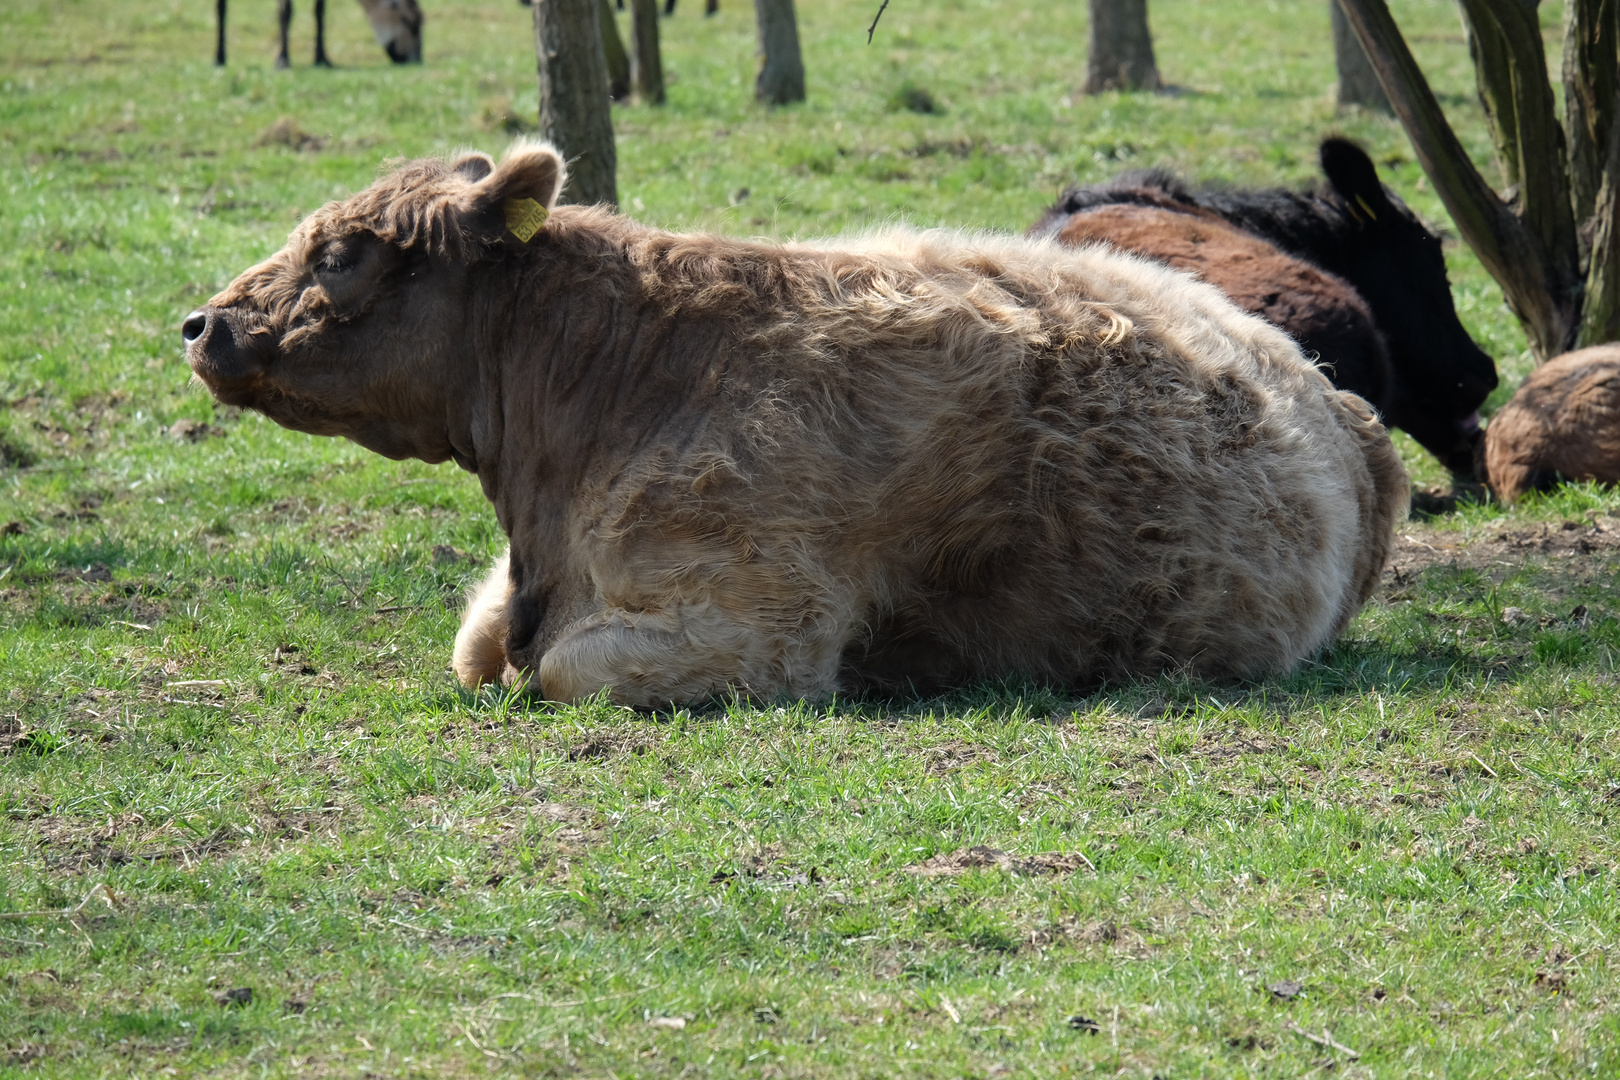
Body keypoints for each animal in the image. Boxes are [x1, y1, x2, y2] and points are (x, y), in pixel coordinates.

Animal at [183, 137, 1412, 709]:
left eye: (344, 253)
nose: (203, 324)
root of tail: (1330, 395)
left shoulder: (754, 626)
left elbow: (557, 670)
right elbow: (478, 647)